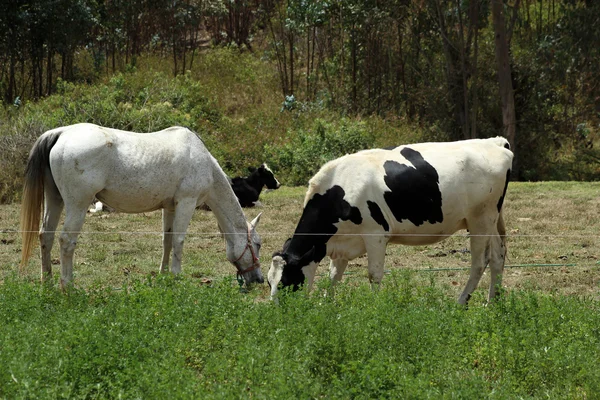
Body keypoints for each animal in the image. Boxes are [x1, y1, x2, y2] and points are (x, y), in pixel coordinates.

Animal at [19, 122, 264, 288]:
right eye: (258, 244)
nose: (259, 279)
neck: (202, 161)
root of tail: (61, 133)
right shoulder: (186, 203)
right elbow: (179, 240)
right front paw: (176, 276)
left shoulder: (170, 207)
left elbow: (167, 240)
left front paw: (164, 275)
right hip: (77, 205)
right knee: (66, 241)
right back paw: (68, 287)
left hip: (55, 199)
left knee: (46, 236)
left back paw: (48, 282)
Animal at [270, 136, 512, 304]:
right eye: (269, 281)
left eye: (286, 283)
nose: (277, 313)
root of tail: (495, 142)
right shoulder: (342, 243)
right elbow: (334, 276)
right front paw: (326, 306)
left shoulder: (375, 234)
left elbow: (374, 275)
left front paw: (375, 309)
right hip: (492, 219)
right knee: (498, 256)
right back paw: (492, 303)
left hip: (480, 219)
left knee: (480, 262)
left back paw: (461, 303)